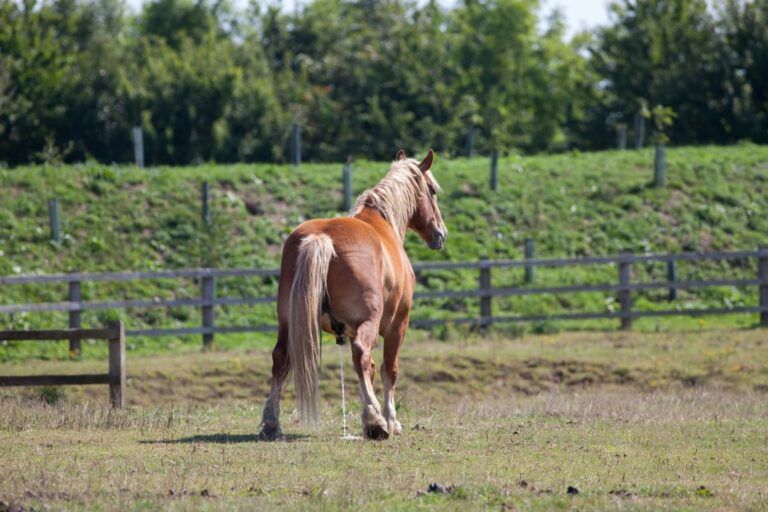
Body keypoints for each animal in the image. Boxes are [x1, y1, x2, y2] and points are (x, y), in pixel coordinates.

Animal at [259, 149, 446, 440]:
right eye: (433, 190)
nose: (440, 233)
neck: (381, 221)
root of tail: (322, 237)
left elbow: (370, 371)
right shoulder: (397, 326)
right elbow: (388, 370)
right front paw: (390, 419)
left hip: (288, 322)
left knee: (280, 358)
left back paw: (271, 423)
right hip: (368, 323)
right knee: (362, 355)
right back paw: (376, 422)